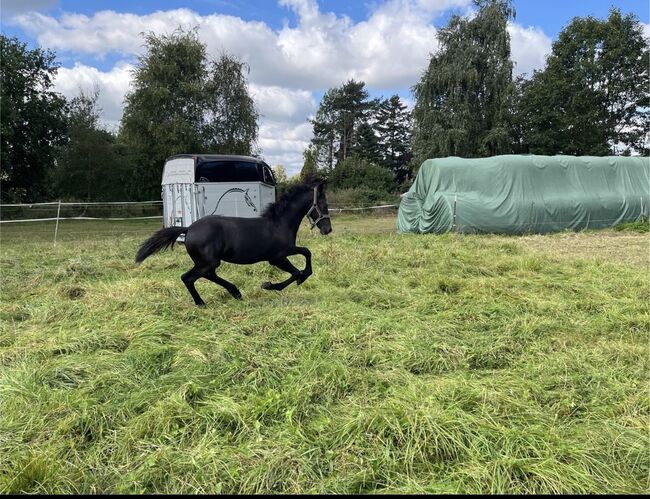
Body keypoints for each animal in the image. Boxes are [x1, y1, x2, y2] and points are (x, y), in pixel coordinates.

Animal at [135, 178, 332, 306]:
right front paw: (271, 285)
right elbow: (298, 267)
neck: (279, 224)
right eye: (324, 205)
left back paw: (235, 292)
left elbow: (305, 254)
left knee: (208, 275)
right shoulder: (277, 257)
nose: (327, 229)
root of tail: (188, 228)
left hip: (208, 262)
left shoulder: (284, 253)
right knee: (188, 277)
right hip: (208, 262)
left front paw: (294, 278)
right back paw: (201, 302)